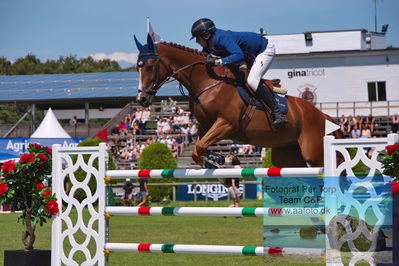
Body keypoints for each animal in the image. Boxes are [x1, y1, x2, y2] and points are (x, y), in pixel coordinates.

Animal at [134, 34, 344, 167]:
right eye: (138, 67)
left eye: (150, 66)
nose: (142, 99)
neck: (208, 82)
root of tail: (325, 116)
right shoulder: (205, 125)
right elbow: (198, 149)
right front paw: (219, 160)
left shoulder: (226, 124)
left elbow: (201, 146)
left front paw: (224, 161)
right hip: (288, 154)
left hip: (315, 153)